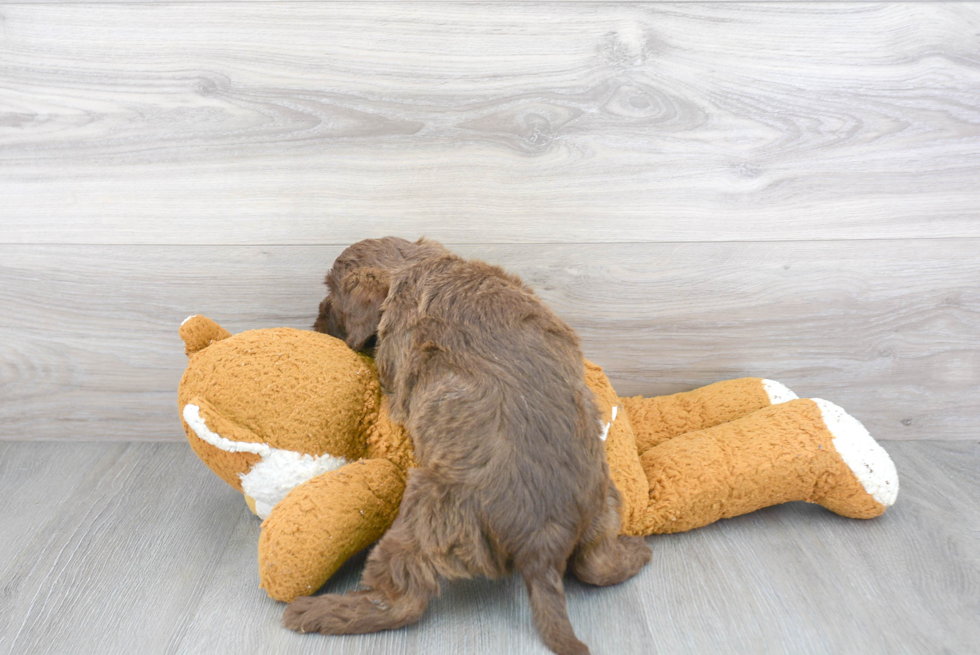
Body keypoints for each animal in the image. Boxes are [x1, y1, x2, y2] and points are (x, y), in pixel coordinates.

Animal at [290, 237, 652, 655]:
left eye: (331, 297)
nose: (314, 322)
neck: (416, 266)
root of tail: (541, 546)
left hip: (424, 517)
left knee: (404, 600)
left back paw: (318, 613)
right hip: (605, 505)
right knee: (596, 566)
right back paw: (637, 552)